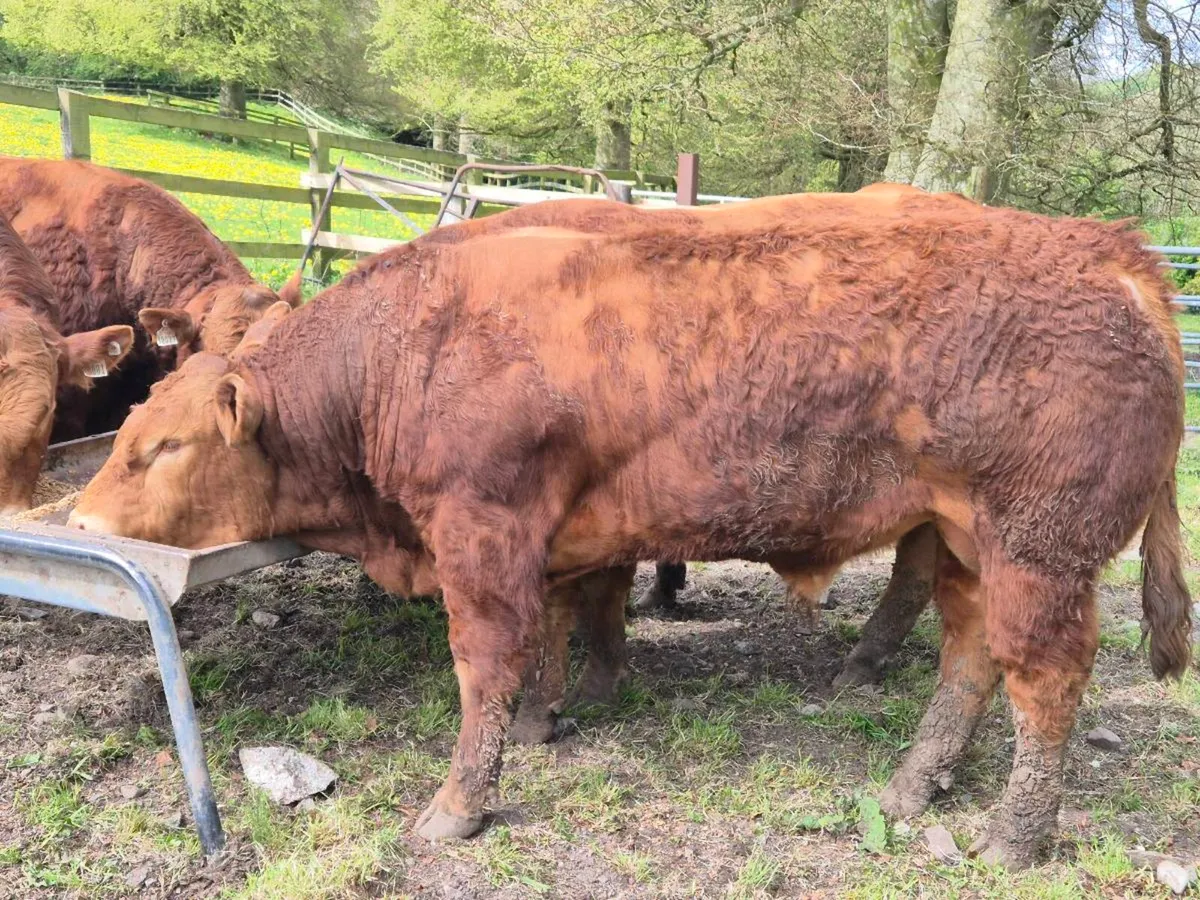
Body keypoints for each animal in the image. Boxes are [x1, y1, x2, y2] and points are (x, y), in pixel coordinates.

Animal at [69, 189, 1192, 869]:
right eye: (130, 427)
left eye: (164, 447)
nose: (77, 518)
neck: (408, 348)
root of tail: (1111, 252)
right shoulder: (555, 537)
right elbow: (560, 627)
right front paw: (549, 717)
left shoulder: (481, 532)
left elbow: (485, 662)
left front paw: (458, 805)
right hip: (966, 543)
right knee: (969, 657)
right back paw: (917, 786)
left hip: (1041, 552)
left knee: (1043, 682)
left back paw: (1014, 835)